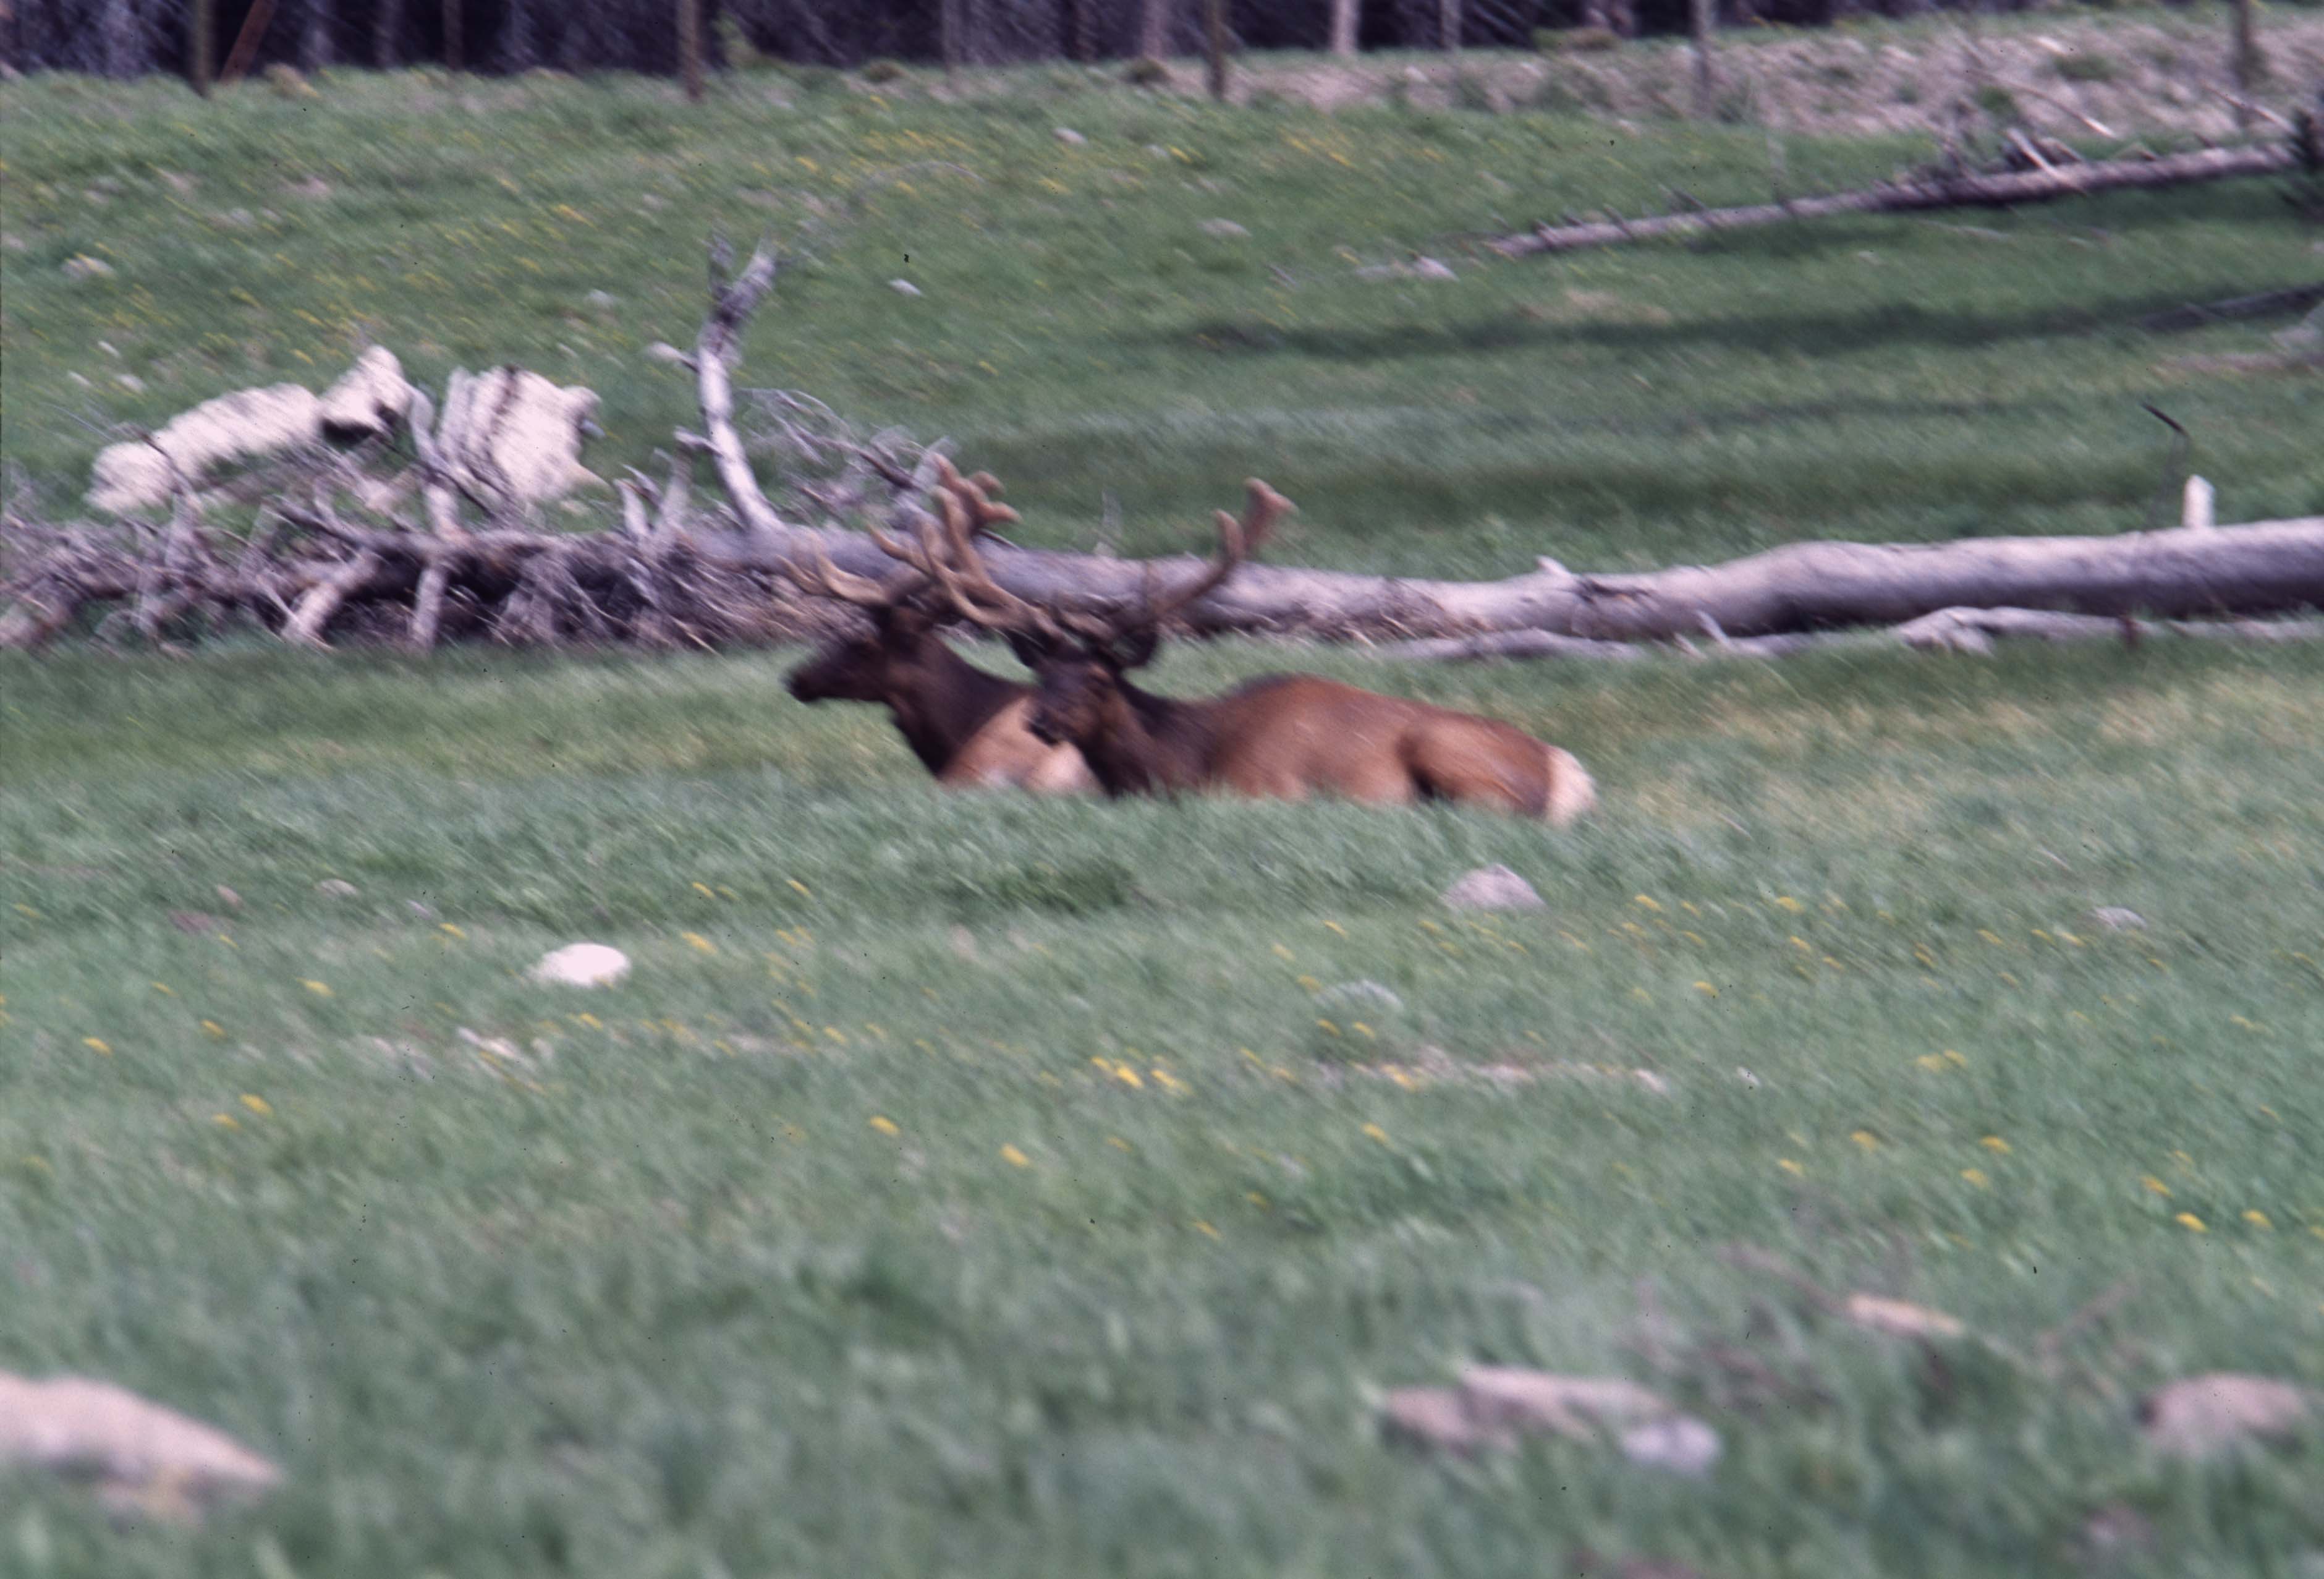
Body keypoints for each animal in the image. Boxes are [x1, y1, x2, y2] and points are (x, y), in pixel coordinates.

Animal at [914, 479, 1597, 824]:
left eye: (1099, 679)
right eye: (1041, 674)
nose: (1040, 721)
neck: (1180, 763)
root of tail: (1564, 767)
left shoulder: (1265, 787)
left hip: (1446, 748)